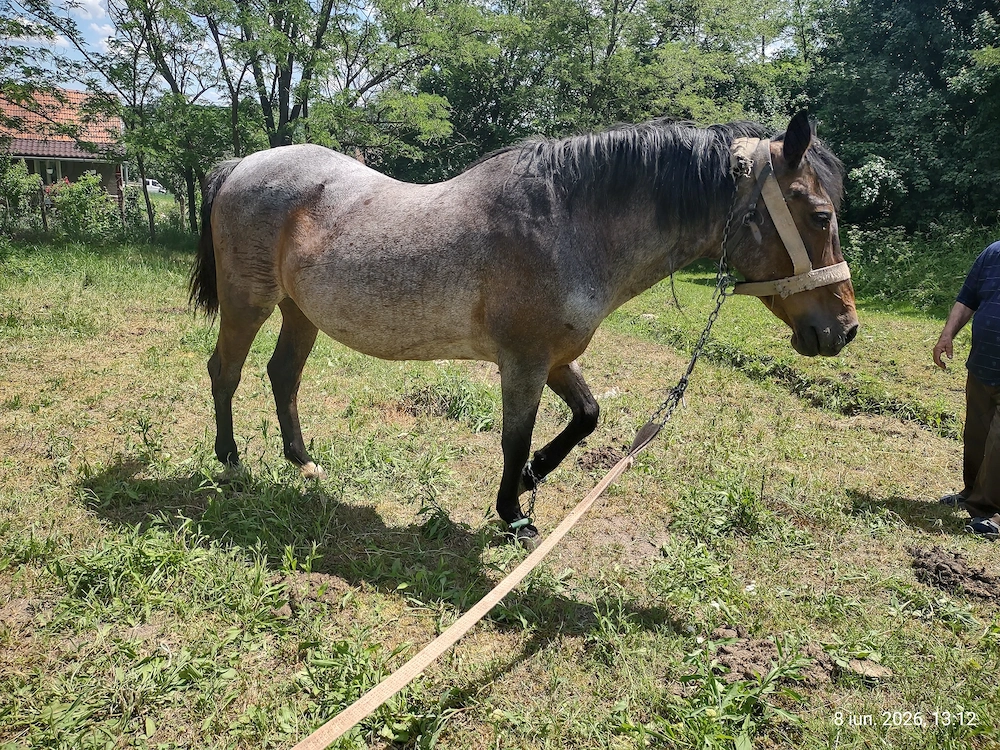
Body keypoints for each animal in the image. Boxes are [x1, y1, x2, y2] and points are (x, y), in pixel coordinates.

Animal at [189, 111, 858, 543]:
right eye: (820, 215)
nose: (844, 329)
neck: (568, 227)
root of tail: (242, 165)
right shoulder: (525, 362)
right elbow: (514, 437)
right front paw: (514, 514)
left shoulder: (557, 358)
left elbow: (587, 416)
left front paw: (538, 472)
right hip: (250, 302)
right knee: (225, 371)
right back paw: (231, 459)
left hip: (301, 311)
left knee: (282, 376)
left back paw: (303, 462)